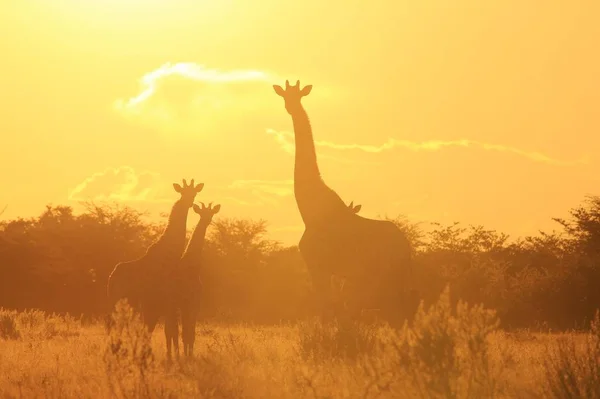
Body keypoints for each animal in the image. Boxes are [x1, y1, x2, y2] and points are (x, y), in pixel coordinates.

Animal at [106, 180, 203, 330]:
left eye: (195, 193)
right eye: (183, 192)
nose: (190, 203)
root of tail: (112, 276)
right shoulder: (154, 300)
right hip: (117, 299)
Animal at [274, 81, 414, 324]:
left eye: (298, 95)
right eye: (285, 95)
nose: (290, 107)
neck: (309, 211)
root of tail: (406, 246)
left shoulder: (317, 265)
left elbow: (326, 307)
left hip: (382, 275)